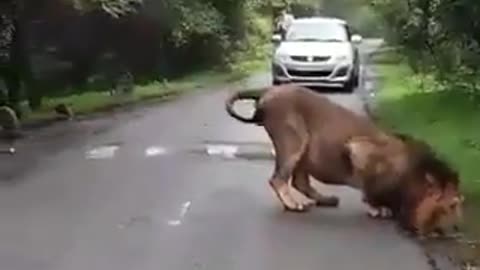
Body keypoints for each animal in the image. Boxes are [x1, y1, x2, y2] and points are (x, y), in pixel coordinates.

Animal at [227, 84, 464, 236]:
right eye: (452, 205)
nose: (458, 229)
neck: (412, 178)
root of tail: (269, 89)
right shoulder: (357, 149)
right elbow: (369, 189)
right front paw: (378, 209)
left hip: (302, 149)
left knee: (299, 181)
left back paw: (324, 199)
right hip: (293, 140)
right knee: (278, 179)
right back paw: (294, 205)